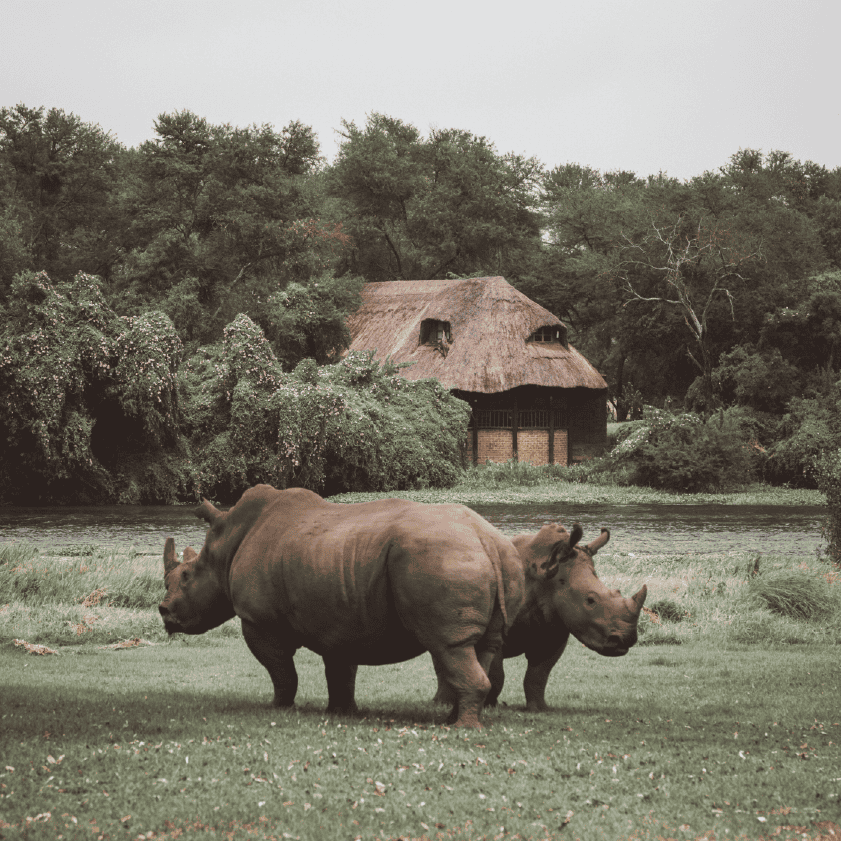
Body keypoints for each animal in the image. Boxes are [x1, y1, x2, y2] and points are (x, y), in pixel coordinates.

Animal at [158, 484, 525, 729]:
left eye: (186, 576)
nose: (164, 612)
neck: (224, 547)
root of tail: (487, 539)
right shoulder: (341, 617)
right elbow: (340, 670)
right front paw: (340, 712)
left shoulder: (260, 621)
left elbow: (281, 670)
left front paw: (277, 707)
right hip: (496, 558)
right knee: (481, 646)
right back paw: (453, 720)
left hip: (440, 554)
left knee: (448, 646)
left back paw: (462, 728)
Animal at [434, 522, 647, 712]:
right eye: (590, 600)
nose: (625, 639)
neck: (547, 580)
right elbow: (496, 674)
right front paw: (488, 706)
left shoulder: (554, 628)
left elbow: (538, 674)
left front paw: (539, 708)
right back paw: (443, 703)